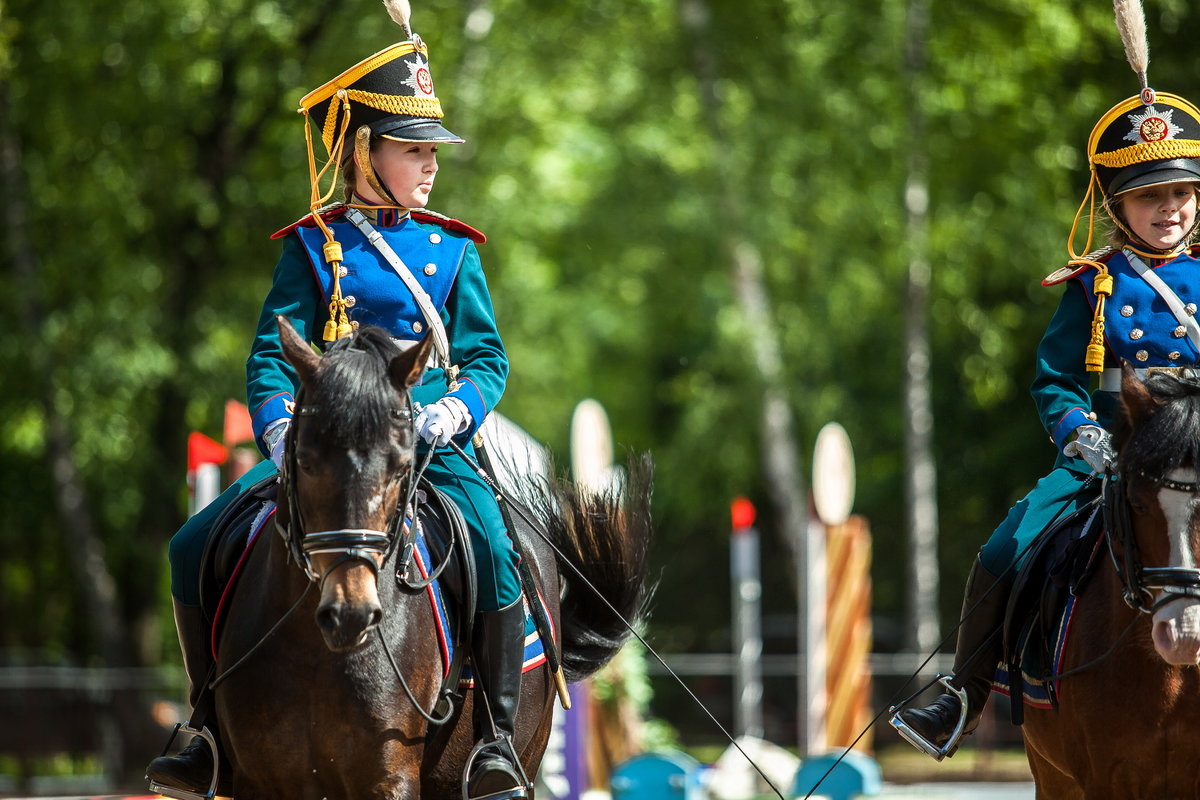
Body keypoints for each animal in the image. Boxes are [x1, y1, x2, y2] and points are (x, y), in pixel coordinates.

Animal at [211, 319, 652, 800]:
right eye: (305, 461)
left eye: (402, 467)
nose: (351, 613)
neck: (317, 653)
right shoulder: (257, 779)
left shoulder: (389, 777)